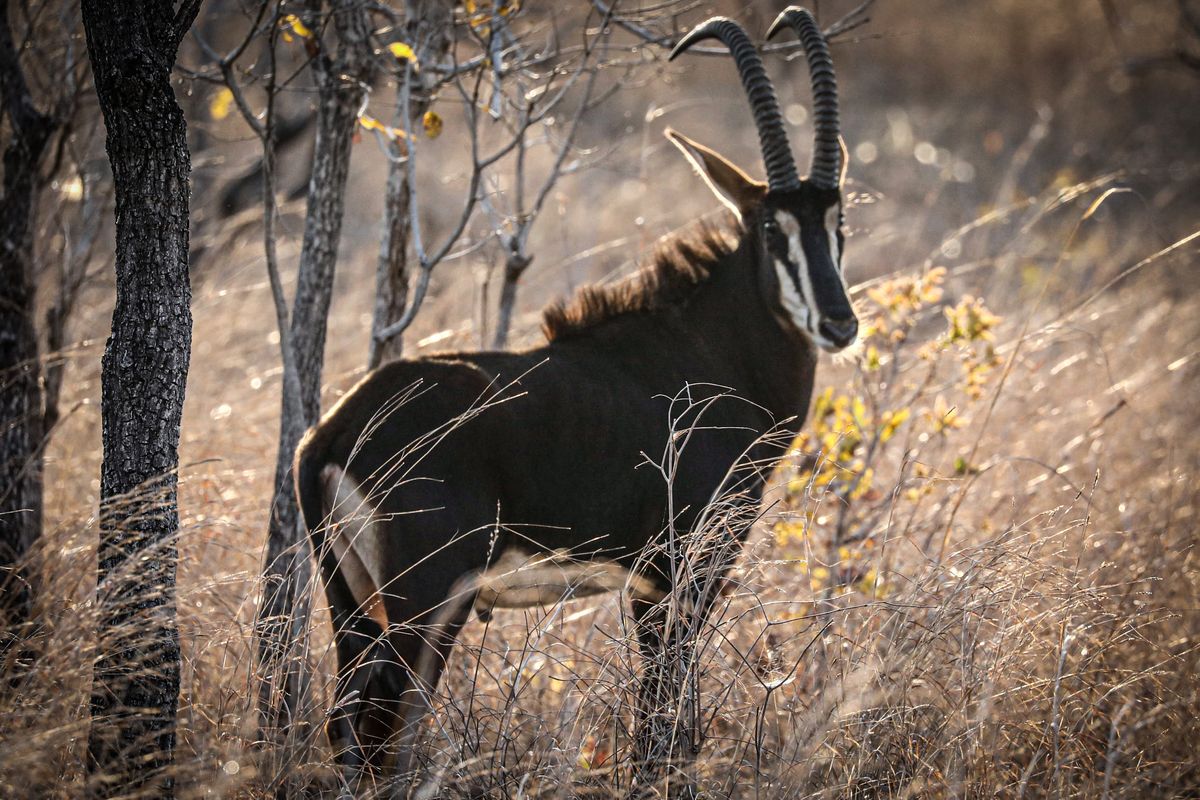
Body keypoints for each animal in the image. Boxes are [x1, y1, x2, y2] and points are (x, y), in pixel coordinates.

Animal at [295, 7, 859, 789]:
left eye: (840, 223)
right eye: (774, 228)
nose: (838, 323)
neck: (709, 348)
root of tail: (332, 434)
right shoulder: (677, 573)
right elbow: (662, 715)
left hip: (352, 607)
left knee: (348, 730)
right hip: (426, 604)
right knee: (387, 735)